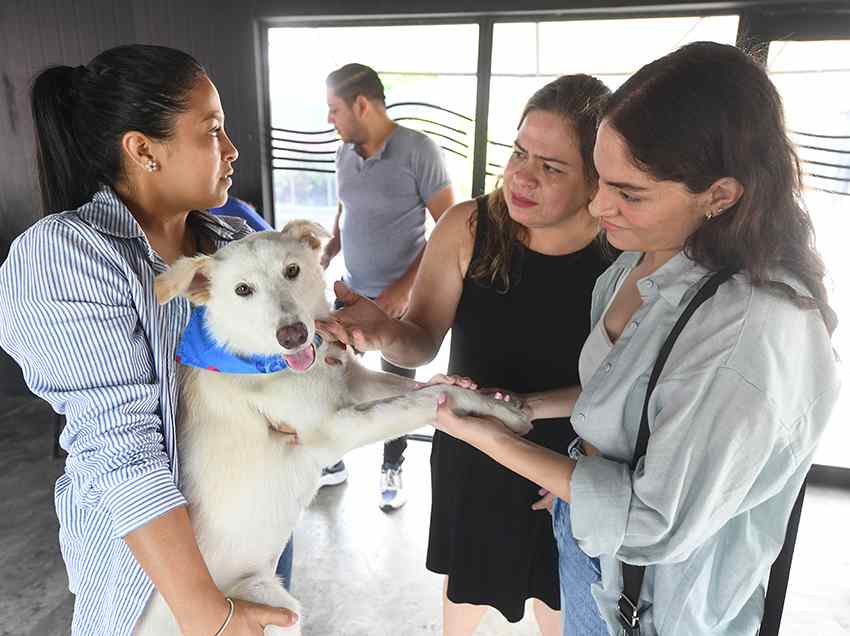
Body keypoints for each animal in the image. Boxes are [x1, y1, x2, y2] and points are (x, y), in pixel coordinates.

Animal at [132, 221, 528, 632]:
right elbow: (428, 398)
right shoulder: (333, 428)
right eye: (242, 290)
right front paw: (501, 412)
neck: (257, 360)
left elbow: (425, 389)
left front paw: (494, 400)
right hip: (275, 608)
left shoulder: (354, 383)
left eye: (292, 270)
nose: (292, 335)